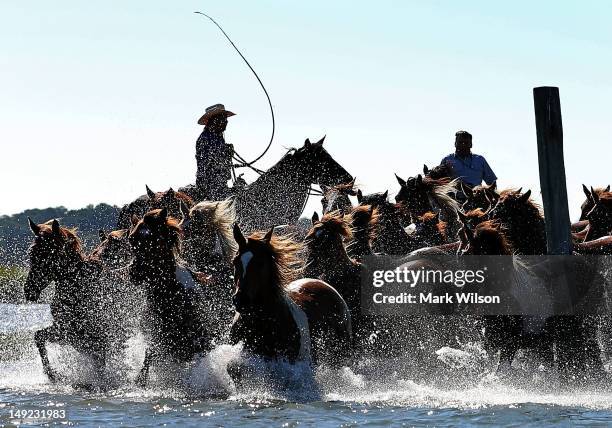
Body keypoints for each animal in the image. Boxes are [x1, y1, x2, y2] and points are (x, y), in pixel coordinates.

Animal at [24, 219, 125, 382]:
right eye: (32, 252)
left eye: (49, 253)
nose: (29, 290)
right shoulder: (66, 331)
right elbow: (39, 336)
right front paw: (52, 374)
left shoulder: (95, 339)